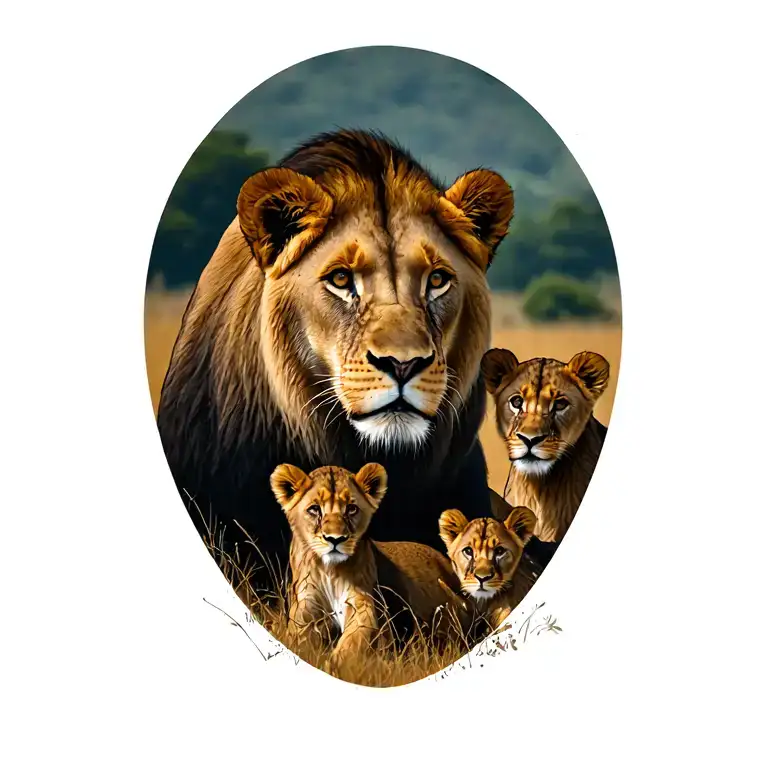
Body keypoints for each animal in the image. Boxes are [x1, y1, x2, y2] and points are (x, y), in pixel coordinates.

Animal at [270, 462, 467, 665]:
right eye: (314, 509)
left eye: (351, 509)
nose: (335, 539)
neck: (329, 569)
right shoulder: (306, 602)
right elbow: (299, 635)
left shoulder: (364, 601)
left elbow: (355, 638)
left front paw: (336, 664)